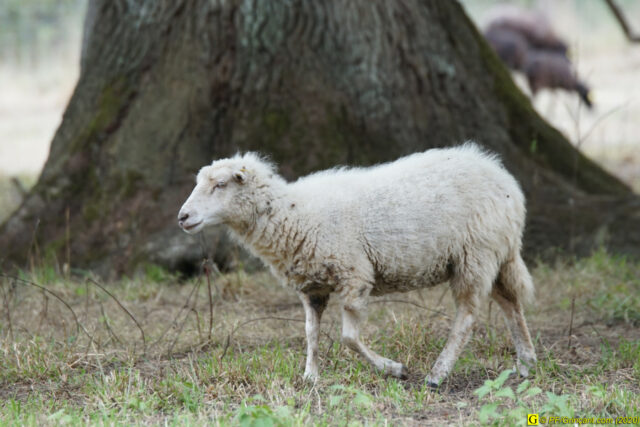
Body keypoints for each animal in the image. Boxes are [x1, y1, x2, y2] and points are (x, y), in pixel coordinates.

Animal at [178, 143, 537, 387]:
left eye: (220, 184)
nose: (182, 216)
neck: (295, 214)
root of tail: (506, 182)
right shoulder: (312, 287)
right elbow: (310, 332)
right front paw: (310, 376)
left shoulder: (355, 276)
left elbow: (349, 337)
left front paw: (394, 368)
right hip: (493, 255)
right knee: (511, 303)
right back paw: (526, 362)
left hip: (474, 255)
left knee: (467, 317)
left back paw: (437, 373)